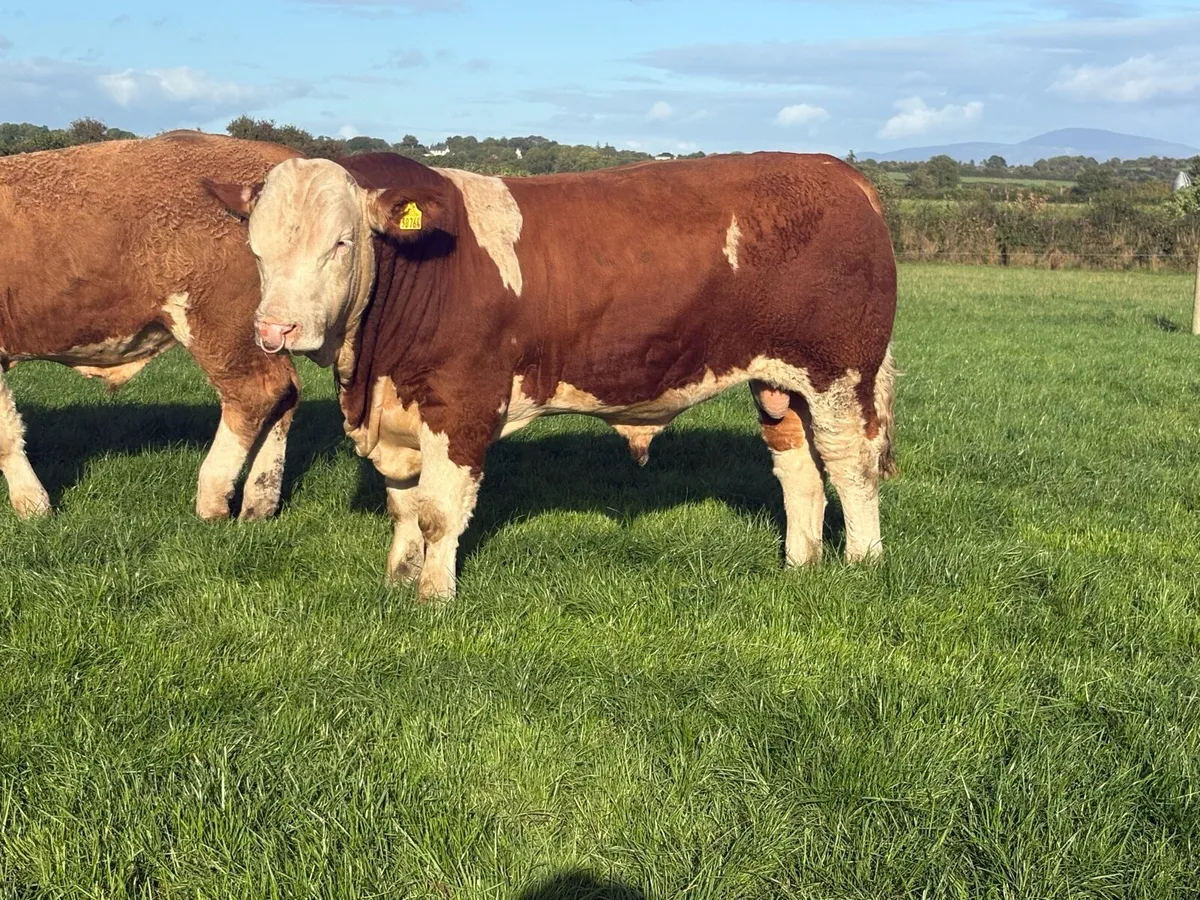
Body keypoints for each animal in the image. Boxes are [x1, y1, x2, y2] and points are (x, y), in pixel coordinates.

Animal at [0, 131, 301, 521]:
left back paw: (212, 498)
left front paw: (33, 506)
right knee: (285, 395)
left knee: (256, 392)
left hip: (219, 326)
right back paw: (258, 505)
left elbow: (5, 435)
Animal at [206, 151, 897, 601]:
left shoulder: (462, 405)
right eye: (257, 248)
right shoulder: (397, 413)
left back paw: (862, 564)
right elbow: (403, 506)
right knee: (799, 472)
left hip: (840, 374)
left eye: (342, 244)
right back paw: (800, 565)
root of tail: (841, 173)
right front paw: (397, 579)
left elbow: (437, 512)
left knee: (850, 467)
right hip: (780, 383)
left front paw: (433, 595)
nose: (277, 329)